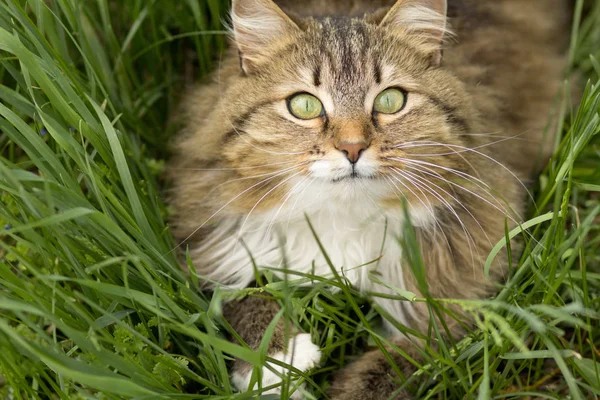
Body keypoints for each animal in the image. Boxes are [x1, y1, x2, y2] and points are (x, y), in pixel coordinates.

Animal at [166, 1, 568, 398]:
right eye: (304, 106)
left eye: (390, 101)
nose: (352, 148)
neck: (343, 219)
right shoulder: (216, 242)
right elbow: (243, 292)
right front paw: (277, 359)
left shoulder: (455, 301)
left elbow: (397, 365)